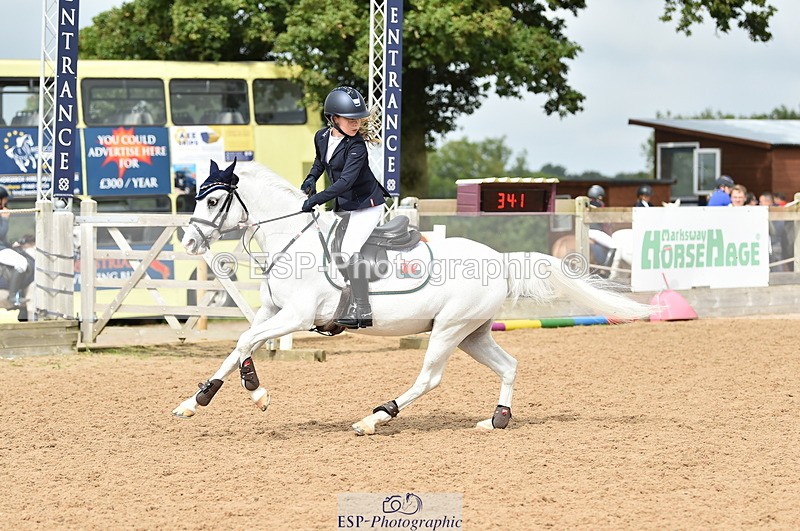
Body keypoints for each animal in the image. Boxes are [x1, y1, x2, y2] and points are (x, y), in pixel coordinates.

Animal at [173, 160, 654, 435]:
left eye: (213, 200)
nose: (190, 241)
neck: (293, 237)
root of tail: (498, 259)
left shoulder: (296, 316)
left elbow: (244, 343)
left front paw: (254, 393)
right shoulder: (272, 312)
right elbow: (239, 346)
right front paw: (196, 401)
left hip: (449, 330)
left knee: (429, 379)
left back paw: (374, 418)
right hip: (473, 332)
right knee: (509, 365)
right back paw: (496, 419)